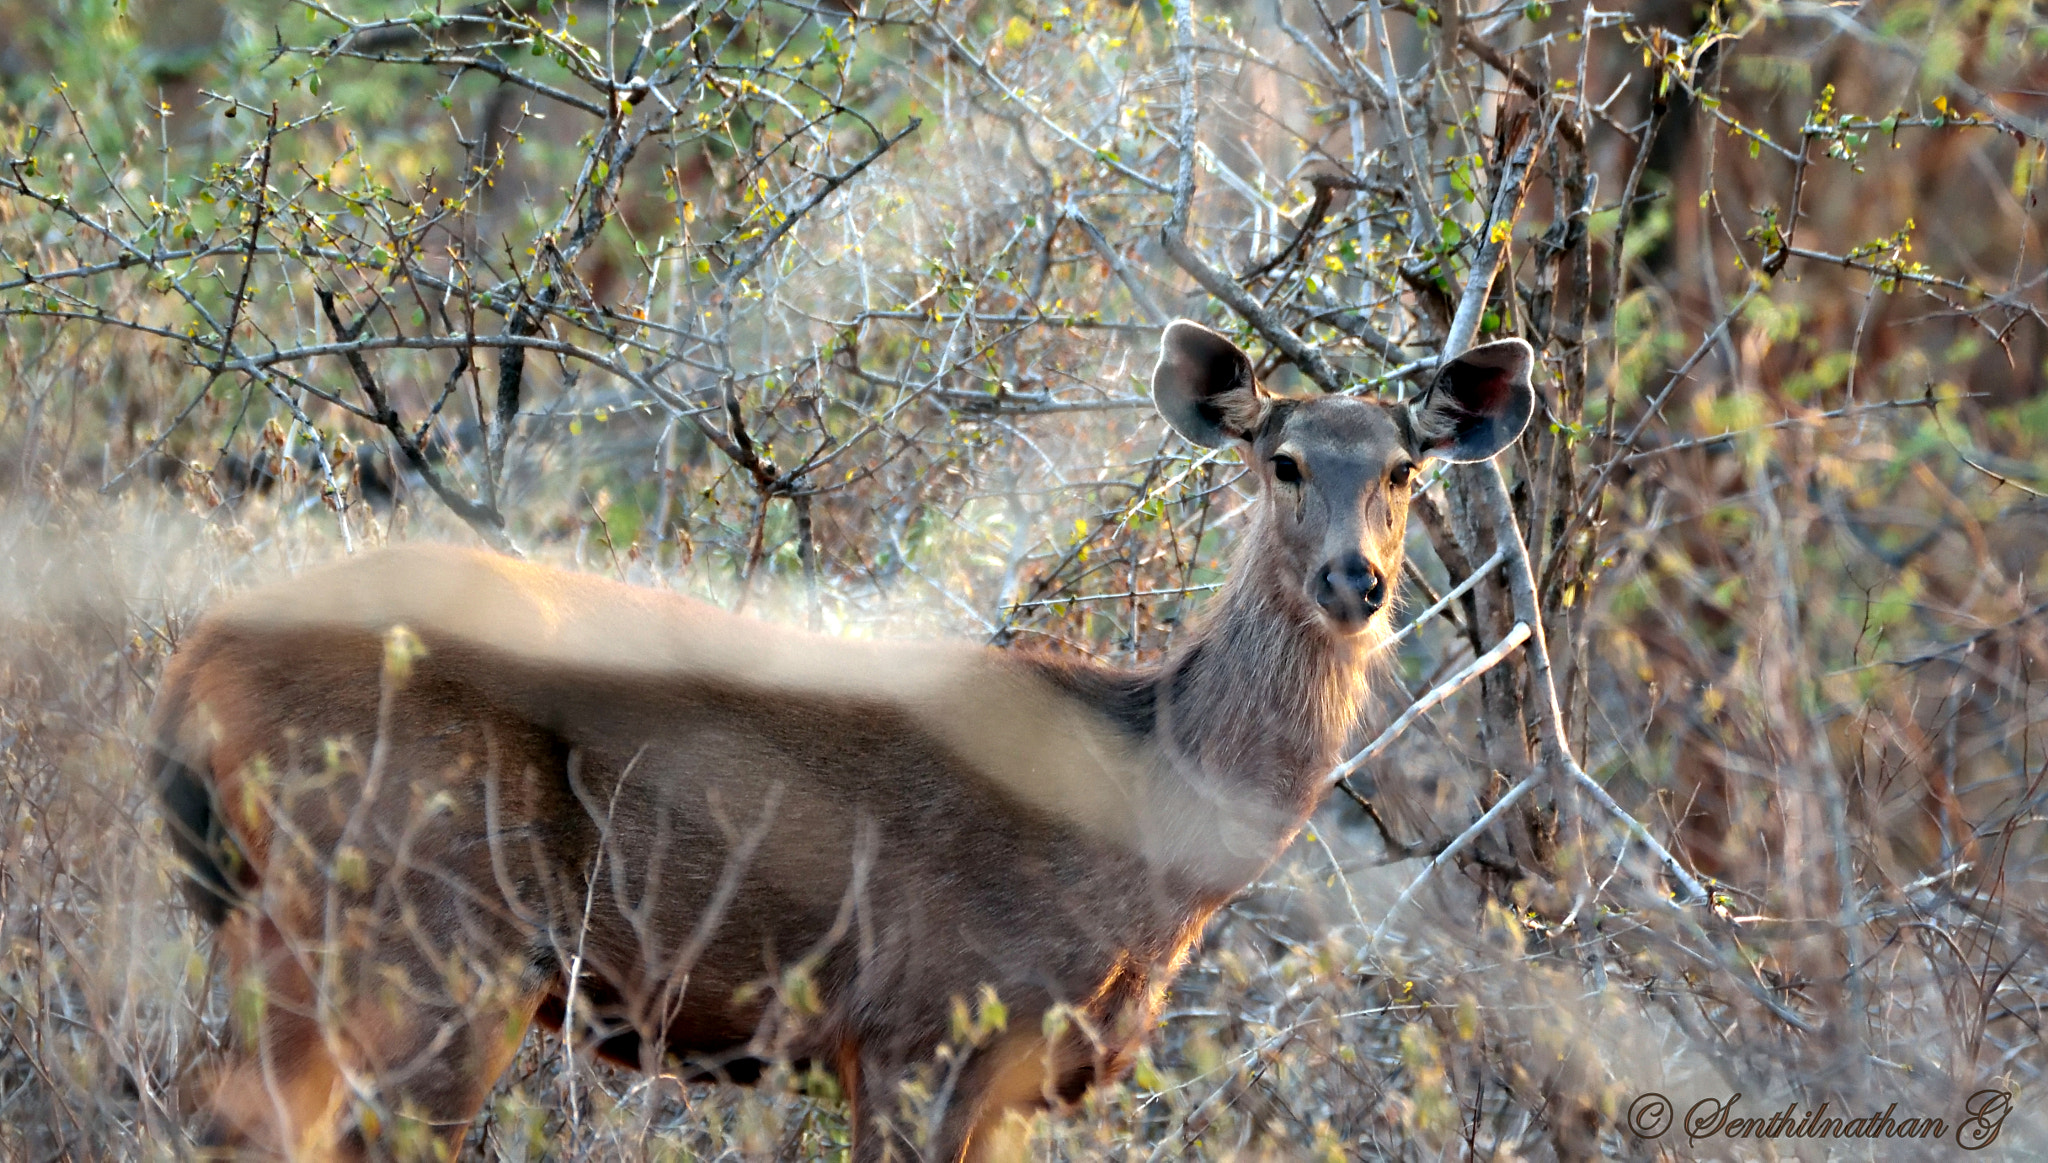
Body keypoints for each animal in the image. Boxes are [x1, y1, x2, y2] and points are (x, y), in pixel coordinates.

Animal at [148, 320, 1534, 1161]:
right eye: (1282, 459)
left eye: (1404, 467)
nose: (1356, 579)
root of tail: (196, 661)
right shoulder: (921, 1021)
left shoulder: (1017, 1077)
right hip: (424, 936)